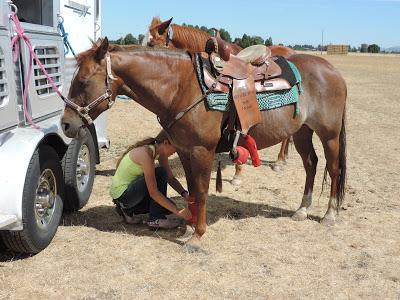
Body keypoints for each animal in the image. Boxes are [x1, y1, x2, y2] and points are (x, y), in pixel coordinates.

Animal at [61, 39, 346, 246]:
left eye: (83, 82)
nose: (65, 124)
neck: (182, 87)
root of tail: (333, 71)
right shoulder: (185, 151)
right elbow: (191, 189)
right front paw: (189, 225)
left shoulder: (202, 151)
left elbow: (201, 190)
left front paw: (197, 235)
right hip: (302, 132)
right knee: (311, 164)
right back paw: (302, 210)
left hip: (329, 135)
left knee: (333, 169)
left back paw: (330, 214)